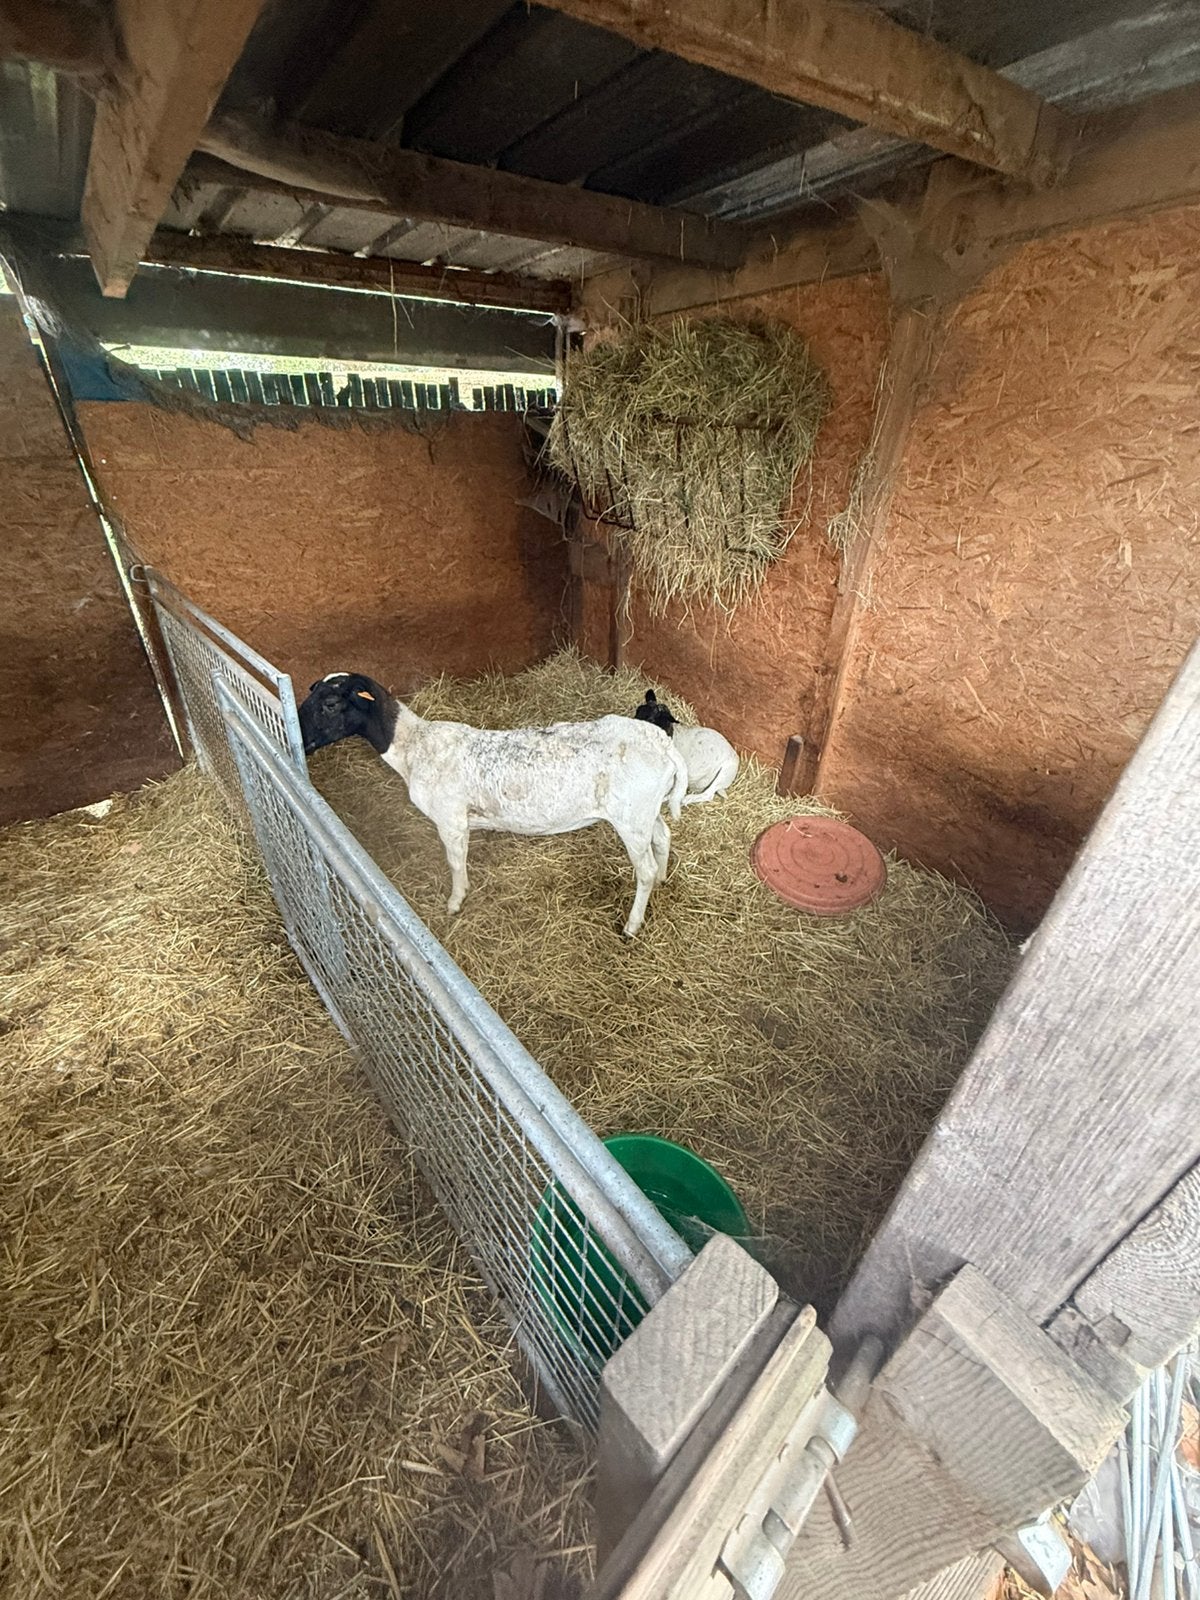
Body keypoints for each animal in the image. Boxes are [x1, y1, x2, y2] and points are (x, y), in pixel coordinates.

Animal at [299, 673, 689, 937]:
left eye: (331, 704)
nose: (301, 741)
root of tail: (664, 745)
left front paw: (455, 901)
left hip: (631, 817)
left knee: (644, 870)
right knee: (663, 837)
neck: (413, 747)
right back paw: (664, 879)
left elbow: (455, 863)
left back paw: (632, 924)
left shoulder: (451, 820)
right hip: (646, 811)